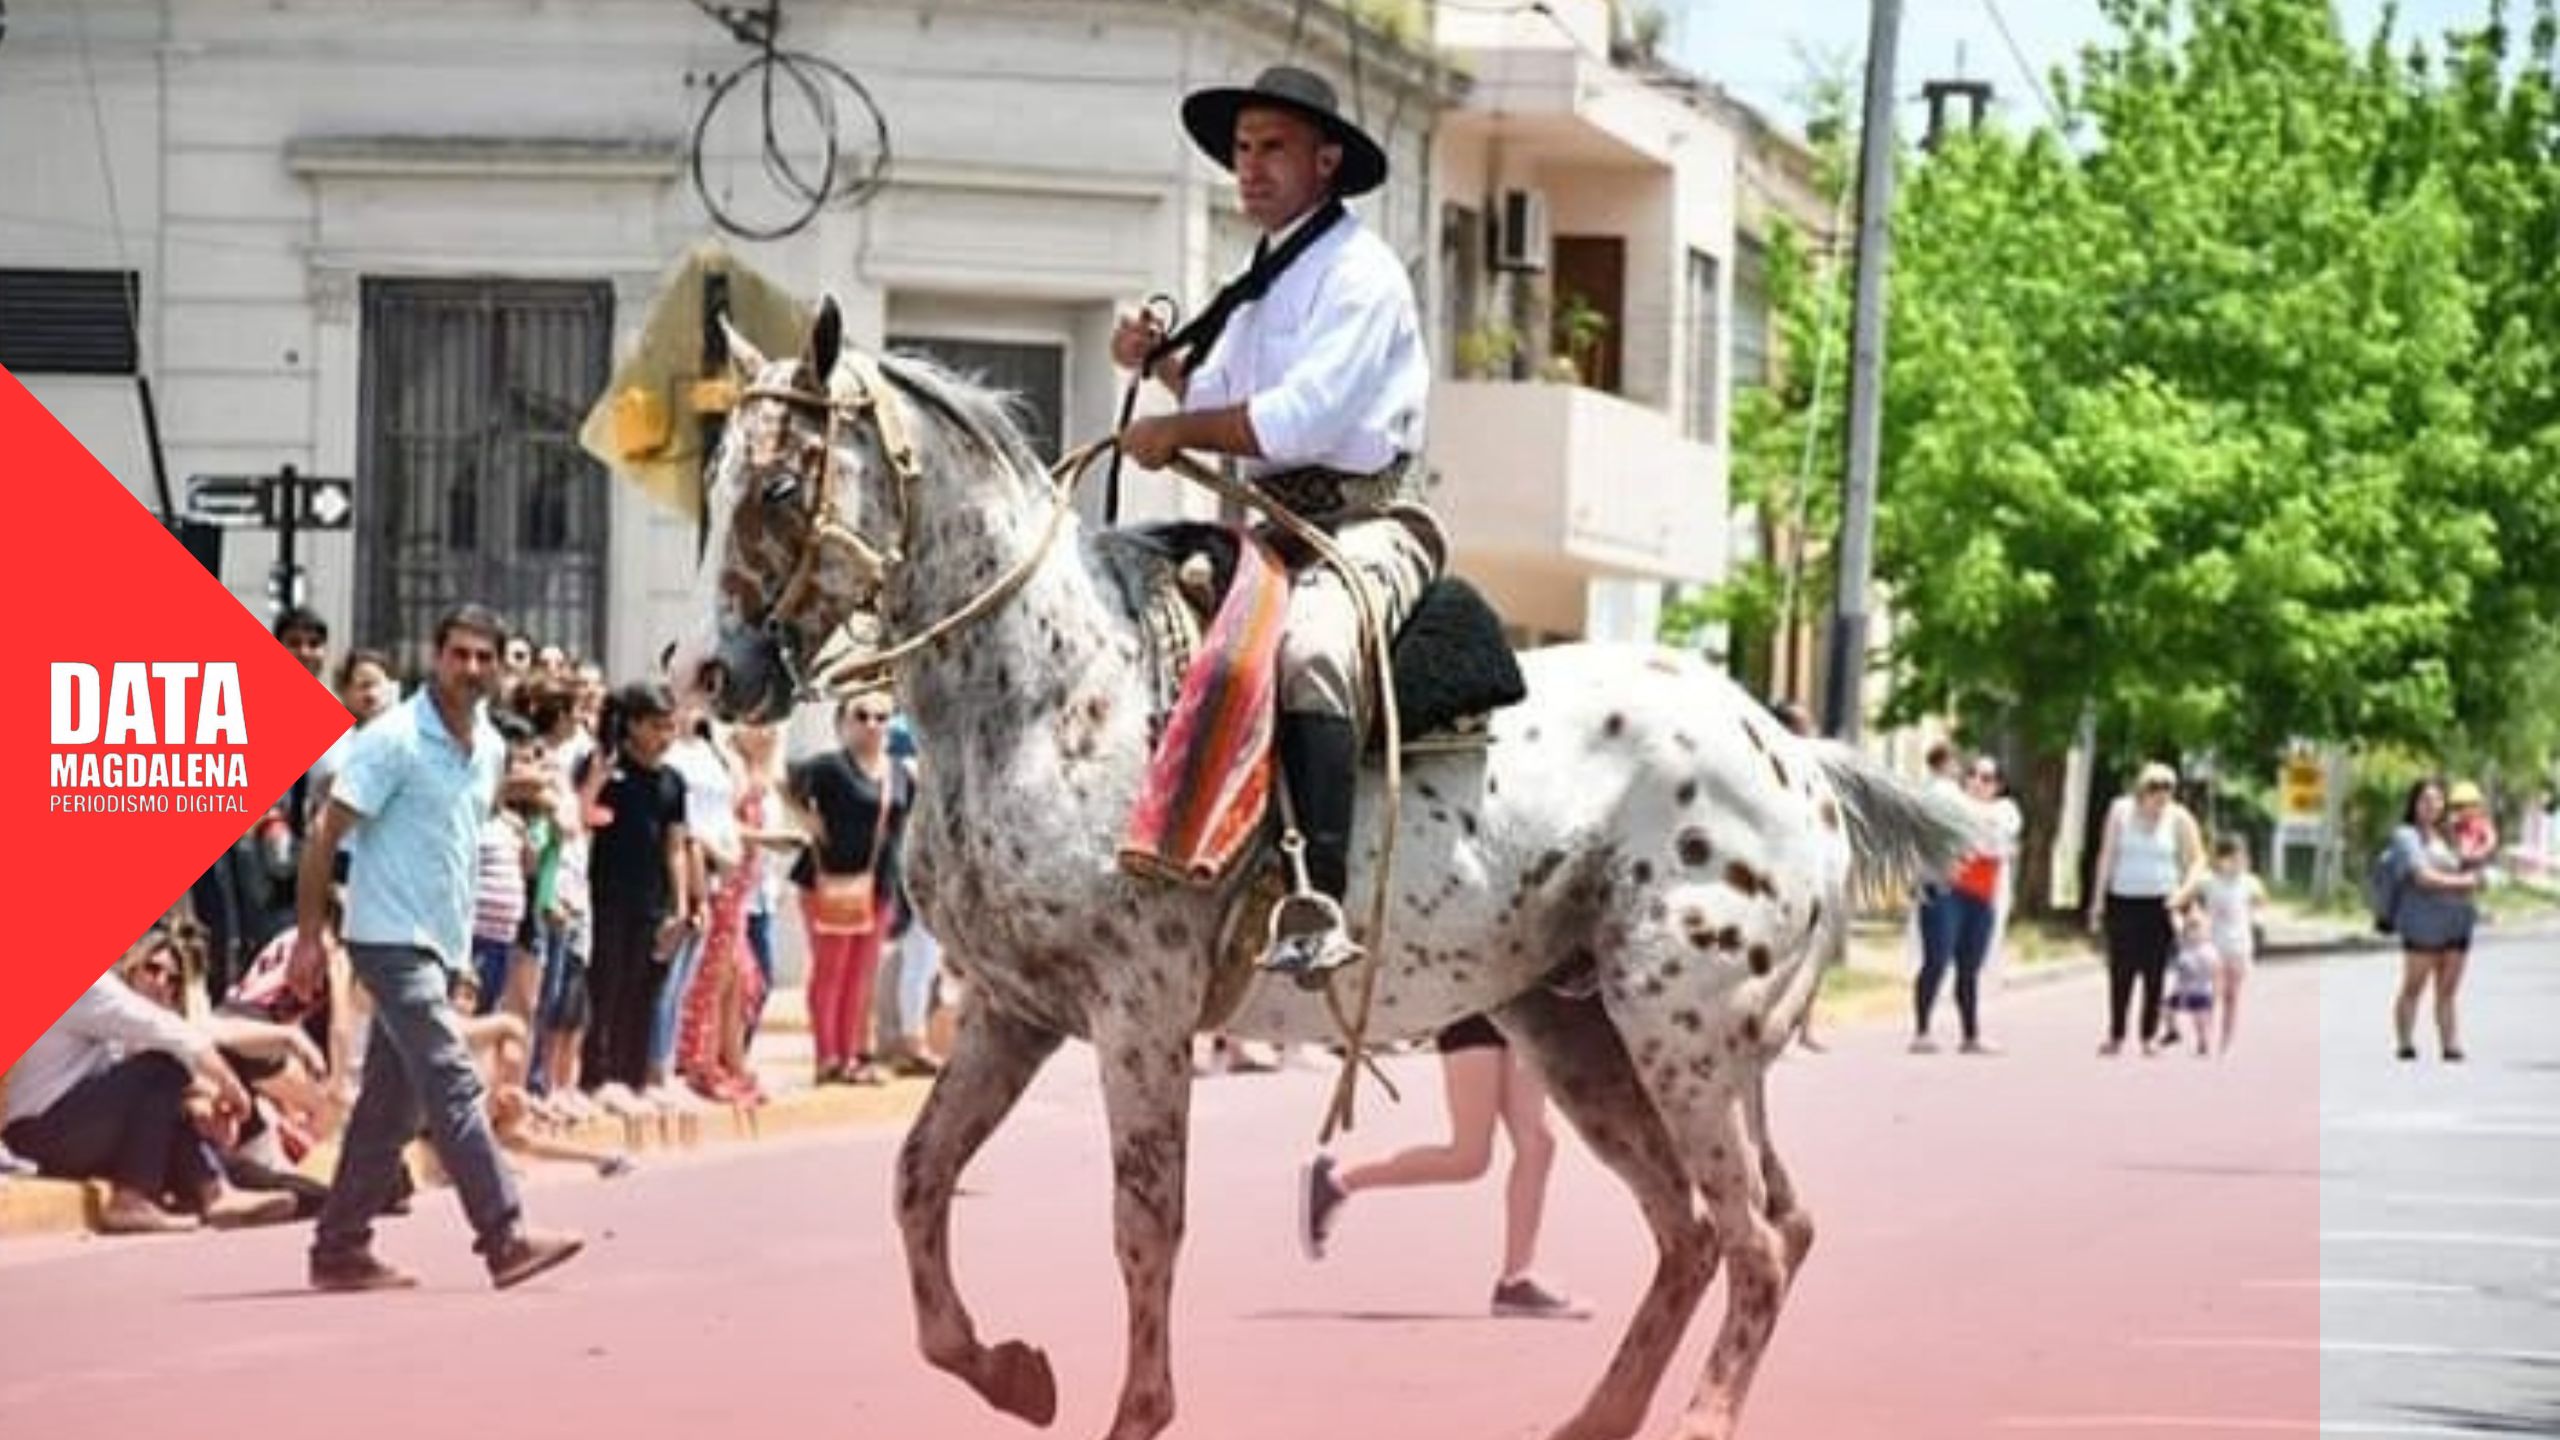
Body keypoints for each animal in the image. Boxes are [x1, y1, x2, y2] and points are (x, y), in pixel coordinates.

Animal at [670, 297, 1966, 1424]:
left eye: (778, 484)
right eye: (711, 485)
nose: (707, 674)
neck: (1046, 692)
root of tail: (1795, 756)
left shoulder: (1138, 1014)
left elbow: (1144, 1223)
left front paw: (1133, 1411)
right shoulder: (1012, 1009)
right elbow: (919, 1178)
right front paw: (1007, 1371)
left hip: (1681, 1035)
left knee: (1752, 1239)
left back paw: (1693, 1419)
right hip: (1582, 1033)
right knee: (1708, 1231)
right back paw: (1594, 1420)